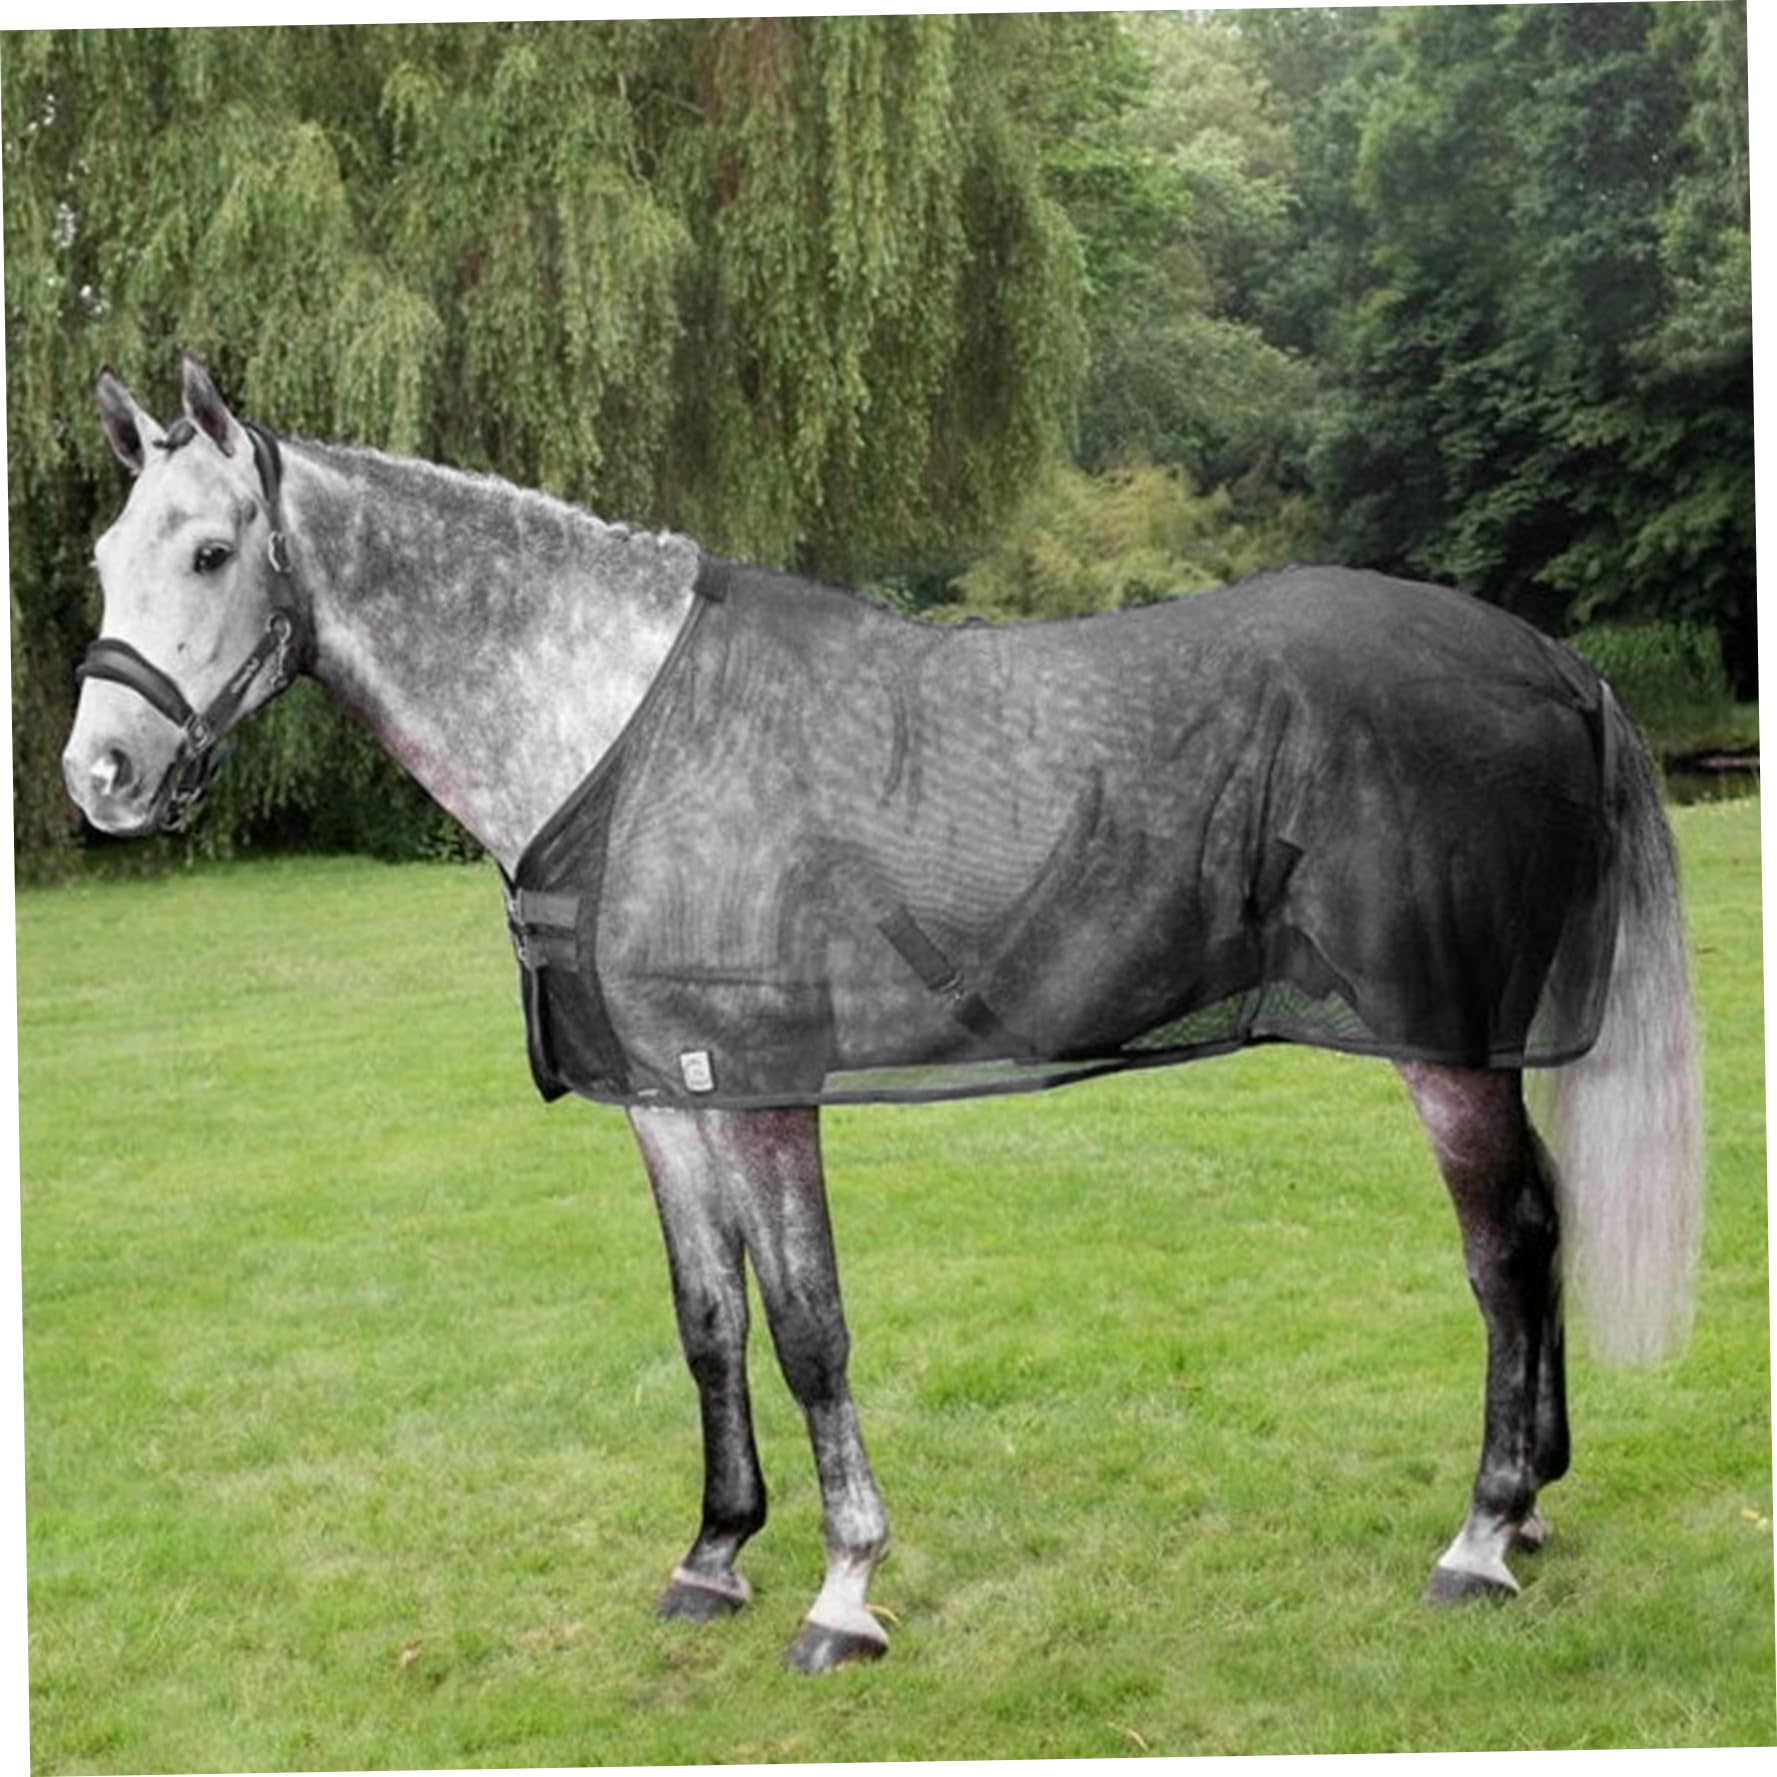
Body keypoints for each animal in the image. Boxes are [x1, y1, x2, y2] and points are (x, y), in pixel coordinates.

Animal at [62, 355, 1702, 1674]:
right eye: (102, 554)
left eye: (211, 550)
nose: (101, 777)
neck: (624, 736)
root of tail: (1556, 664)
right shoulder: (669, 1097)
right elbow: (709, 1324)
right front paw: (712, 1555)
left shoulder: (761, 1086)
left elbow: (808, 1327)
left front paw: (843, 1590)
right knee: (1540, 1227)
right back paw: (1532, 1511)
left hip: (1444, 1045)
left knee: (1505, 1252)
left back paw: (1480, 1535)